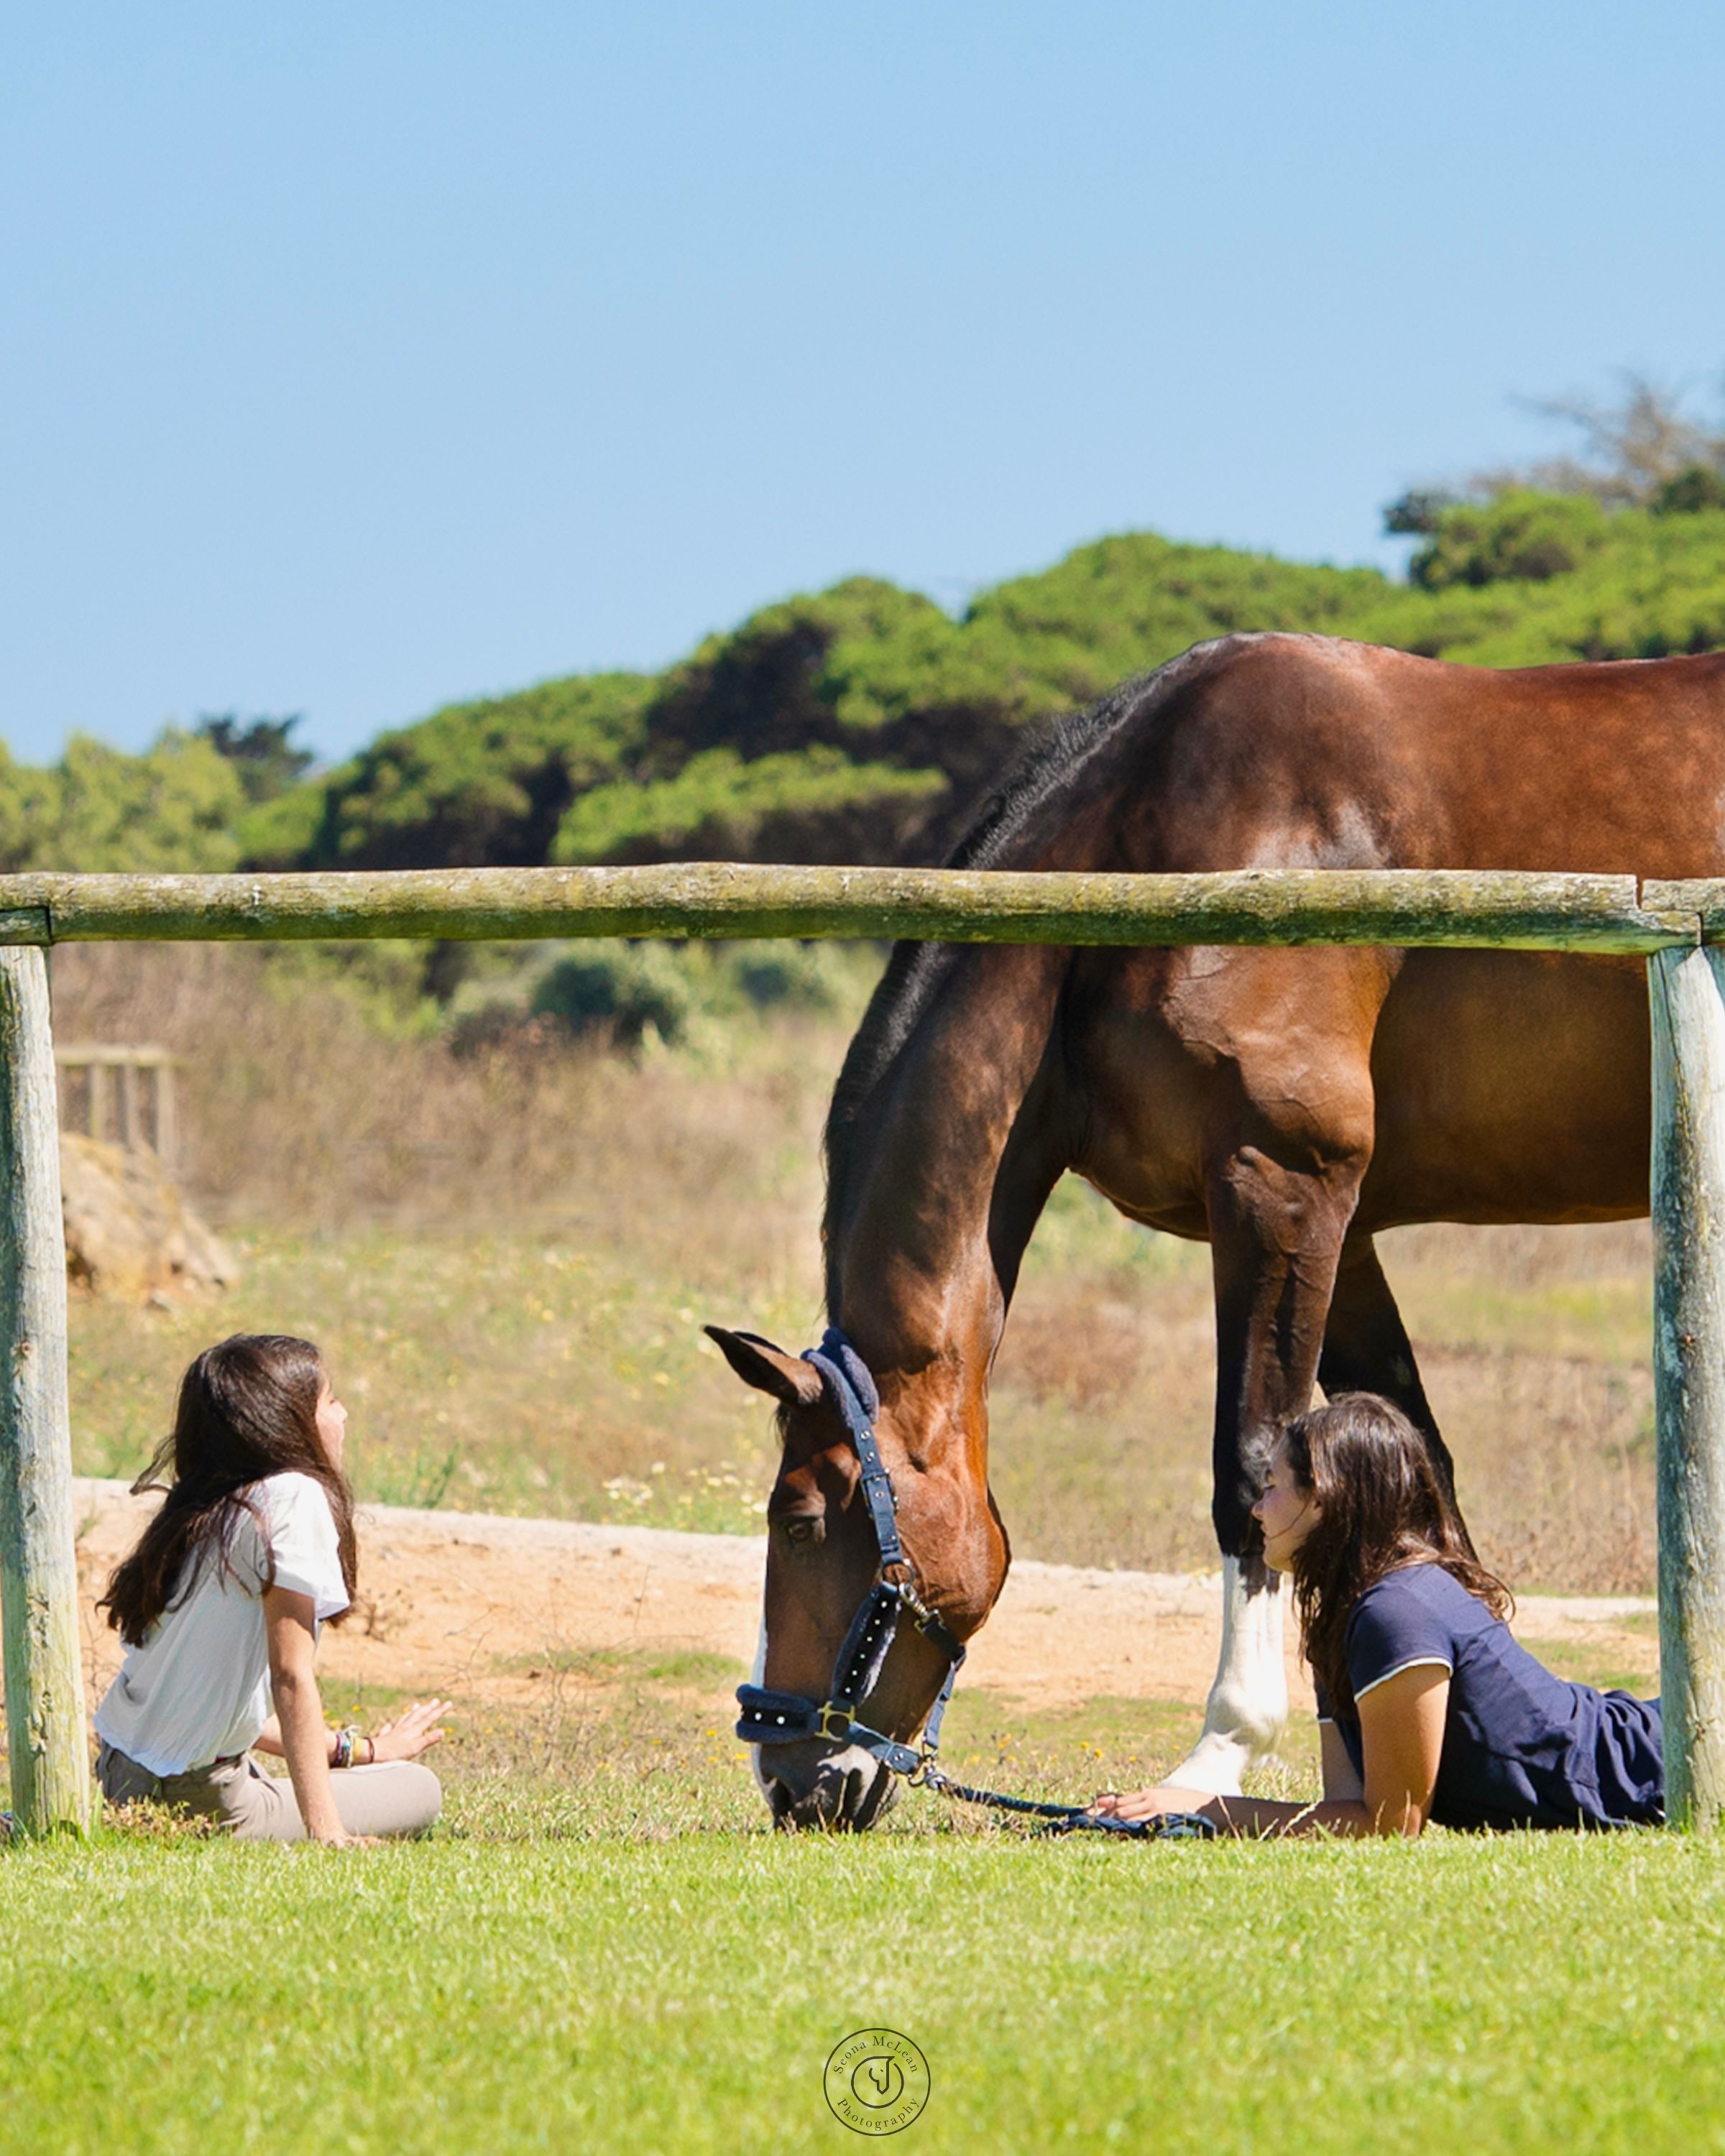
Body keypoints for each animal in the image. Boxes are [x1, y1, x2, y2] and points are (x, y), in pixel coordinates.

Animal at [708, 630, 1725, 1829]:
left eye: (801, 1520)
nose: (792, 1779)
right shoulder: (1340, 1223)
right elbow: (1414, 1456)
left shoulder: (1278, 1184)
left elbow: (1253, 1465)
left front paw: (1220, 1750)